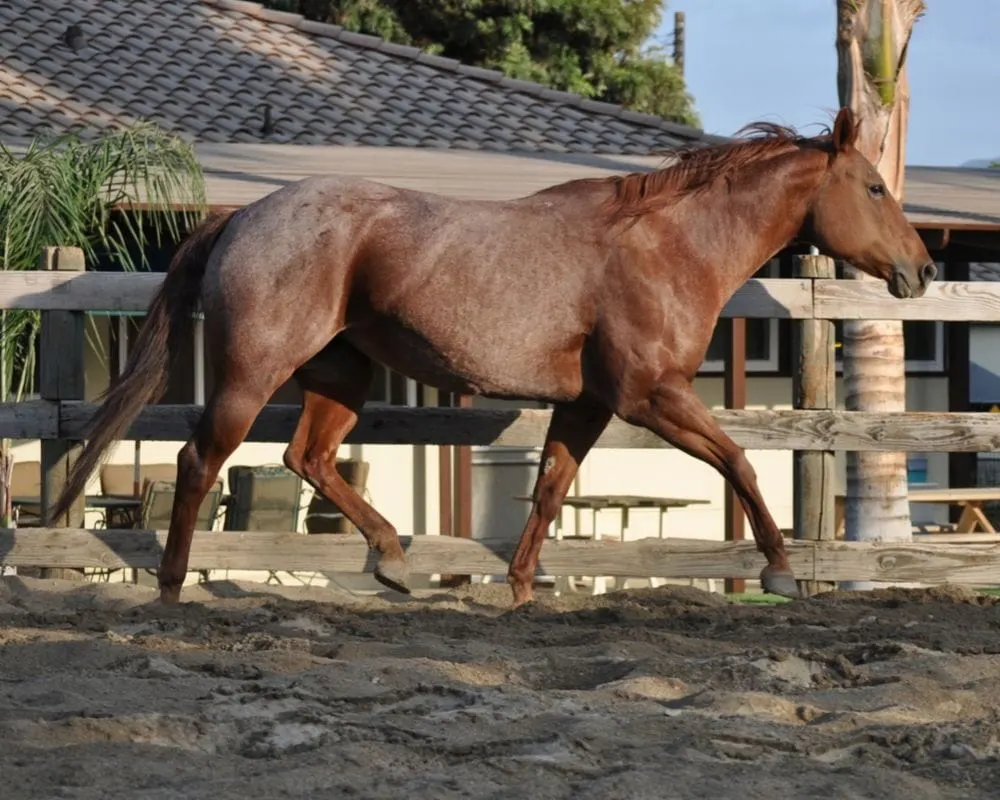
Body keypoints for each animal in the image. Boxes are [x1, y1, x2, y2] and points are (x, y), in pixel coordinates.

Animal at [48, 108, 936, 608]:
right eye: (874, 188)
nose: (922, 270)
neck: (667, 245)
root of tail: (240, 215)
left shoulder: (587, 404)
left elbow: (548, 492)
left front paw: (517, 593)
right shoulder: (651, 394)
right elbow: (741, 463)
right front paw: (782, 572)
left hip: (342, 374)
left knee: (309, 458)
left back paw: (393, 561)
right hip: (250, 372)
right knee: (200, 461)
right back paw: (172, 589)